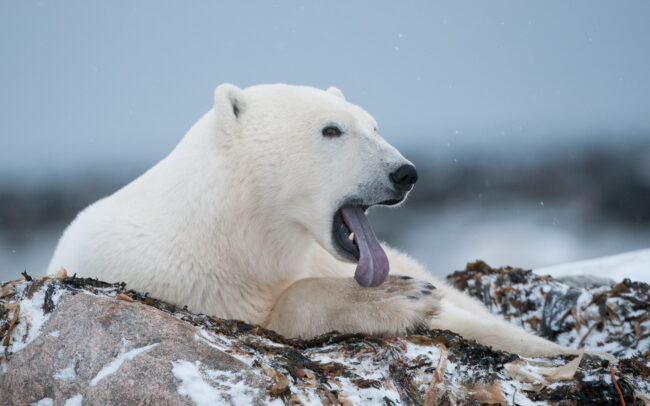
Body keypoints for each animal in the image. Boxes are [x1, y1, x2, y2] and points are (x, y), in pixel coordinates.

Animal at [47, 83, 603, 359]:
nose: (405, 173)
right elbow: (275, 315)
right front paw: (400, 297)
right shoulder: (160, 278)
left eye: (374, 124)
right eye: (331, 130)